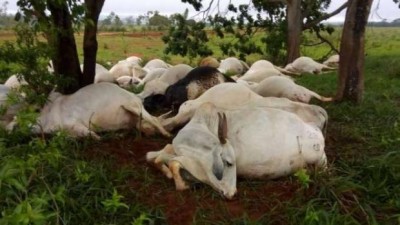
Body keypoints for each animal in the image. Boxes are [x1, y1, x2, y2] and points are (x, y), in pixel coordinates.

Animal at [28, 82, 170, 139]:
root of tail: (134, 96)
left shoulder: (75, 122)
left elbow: (93, 135)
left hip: (134, 106)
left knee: (153, 119)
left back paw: (166, 134)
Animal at [148, 102, 328, 199]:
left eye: (229, 163)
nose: (231, 193)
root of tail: (314, 129)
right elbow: (154, 157)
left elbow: (172, 163)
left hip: (315, 158)